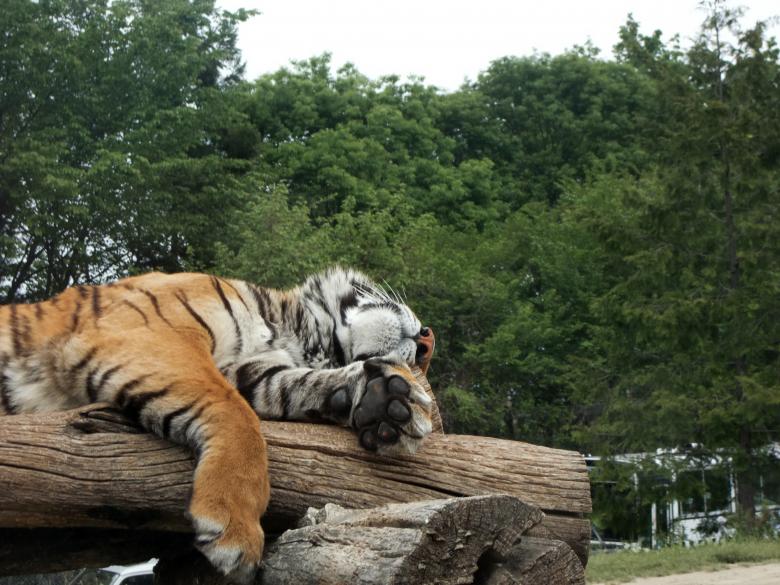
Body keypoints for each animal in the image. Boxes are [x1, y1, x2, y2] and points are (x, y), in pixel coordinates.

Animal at [0, 267, 436, 583]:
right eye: (425, 354)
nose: (427, 340)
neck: (296, 331)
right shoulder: (152, 330)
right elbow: (237, 414)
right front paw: (235, 528)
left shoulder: (253, 372)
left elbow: (300, 386)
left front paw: (389, 401)